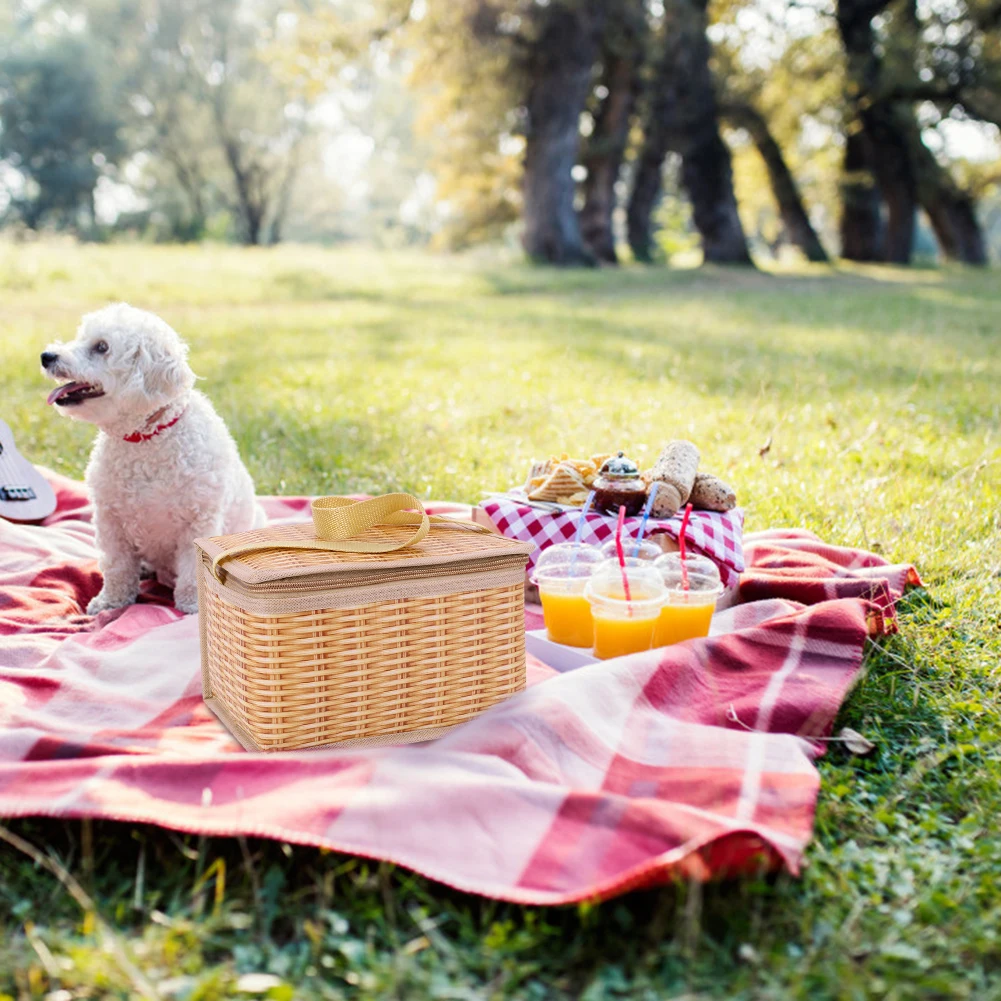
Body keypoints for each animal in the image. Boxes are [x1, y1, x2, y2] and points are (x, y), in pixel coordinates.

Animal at [41, 300, 264, 612]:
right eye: (80, 337)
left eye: (101, 347)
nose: (47, 356)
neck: (146, 439)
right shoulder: (111, 521)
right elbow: (117, 566)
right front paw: (111, 602)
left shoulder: (198, 520)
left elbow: (192, 572)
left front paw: (192, 605)